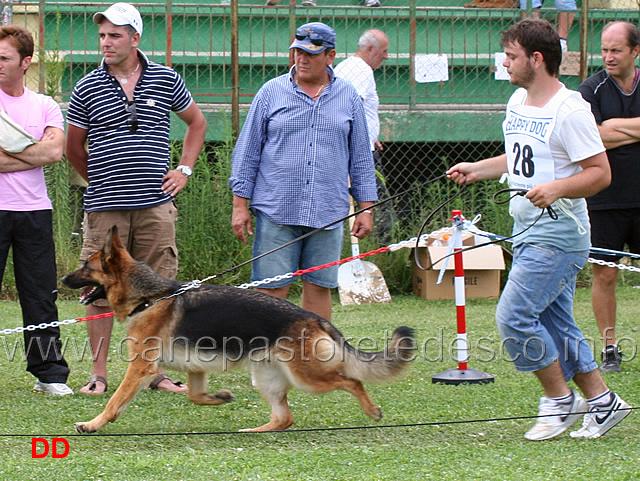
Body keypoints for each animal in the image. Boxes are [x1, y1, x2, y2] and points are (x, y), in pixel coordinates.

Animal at [62, 225, 418, 432]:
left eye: (85, 267)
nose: (62, 279)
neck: (148, 298)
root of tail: (316, 319)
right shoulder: (194, 368)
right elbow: (195, 396)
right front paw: (220, 397)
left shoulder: (140, 368)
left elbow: (114, 401)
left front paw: (92, 424)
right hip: (266, 378)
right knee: (284, 418)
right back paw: (254, 431)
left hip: (307, 378)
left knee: (352, 381)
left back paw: (372, 411)